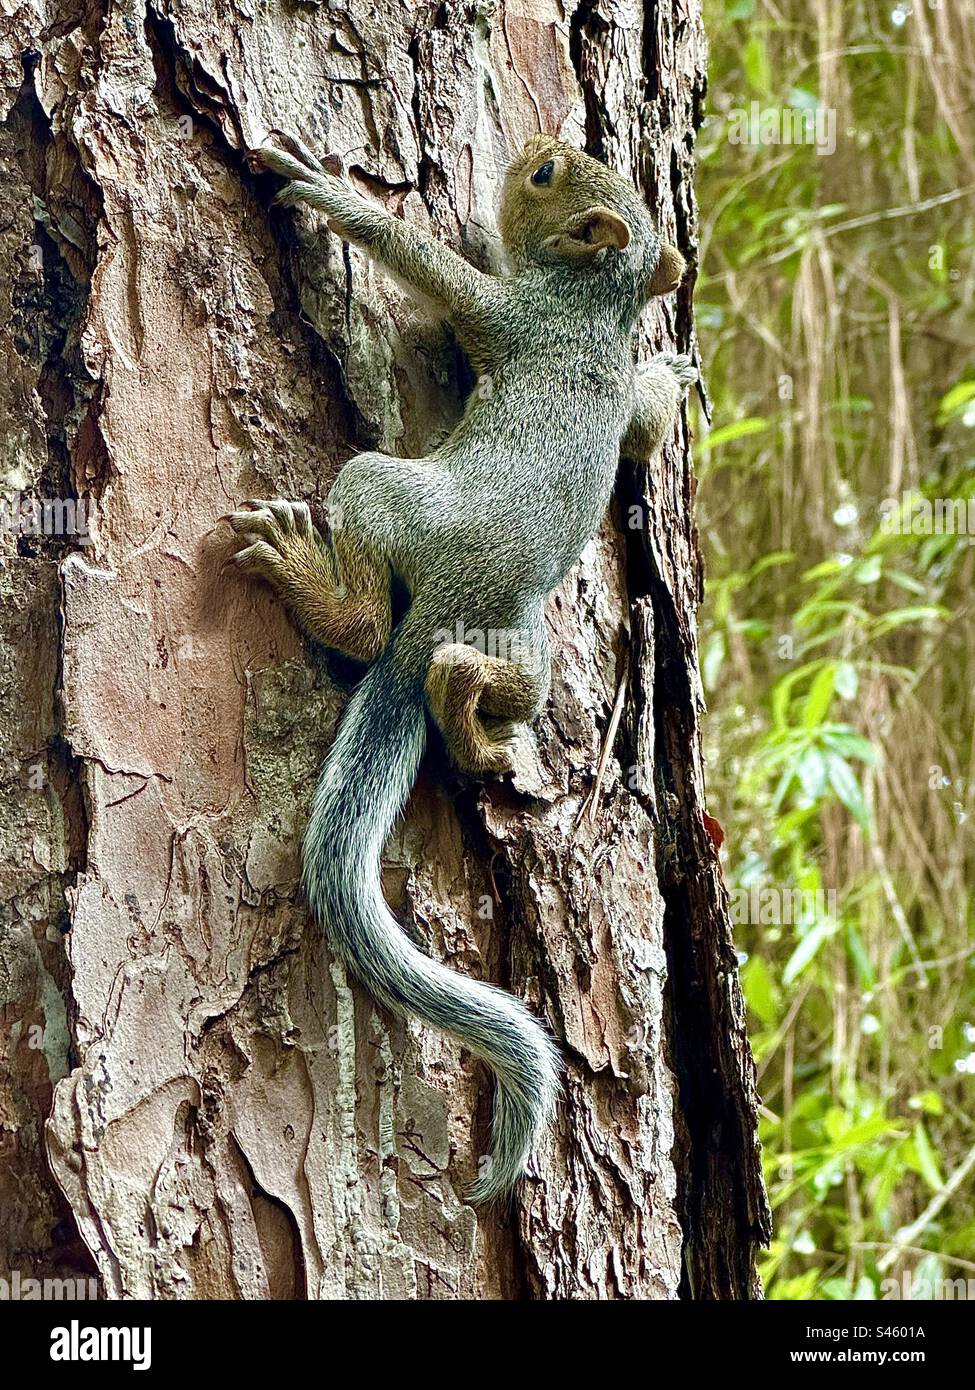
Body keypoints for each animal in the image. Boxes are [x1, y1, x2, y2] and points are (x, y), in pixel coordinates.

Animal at [231, 131, 697, 1203]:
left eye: (546, 178)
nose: (533, 144)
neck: (592, 305)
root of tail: (452, 600)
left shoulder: (504, 317)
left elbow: (430, 270)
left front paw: (329, 196)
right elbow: (644, 426)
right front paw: (667, 371)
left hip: (384, 491)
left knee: (372, 624)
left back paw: (325, 588)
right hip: (531, 643)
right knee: (493, 685)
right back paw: (471, 717)